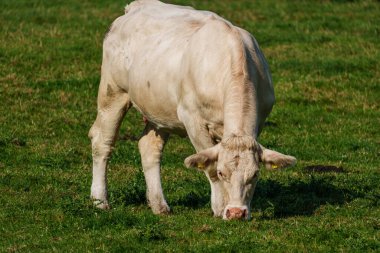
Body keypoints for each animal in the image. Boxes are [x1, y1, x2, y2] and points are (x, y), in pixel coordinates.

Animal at [90, 0, 296, 219]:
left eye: (255, 174)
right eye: (222, 172)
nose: (236, 213)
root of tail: (136, 6)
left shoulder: (258, 121)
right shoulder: (192, 119)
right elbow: (209, 164)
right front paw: (219, 207)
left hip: (159, 109)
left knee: (149, 147)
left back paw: (159, 204)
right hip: (113, 92)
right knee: (102, 141)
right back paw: (100, 200)